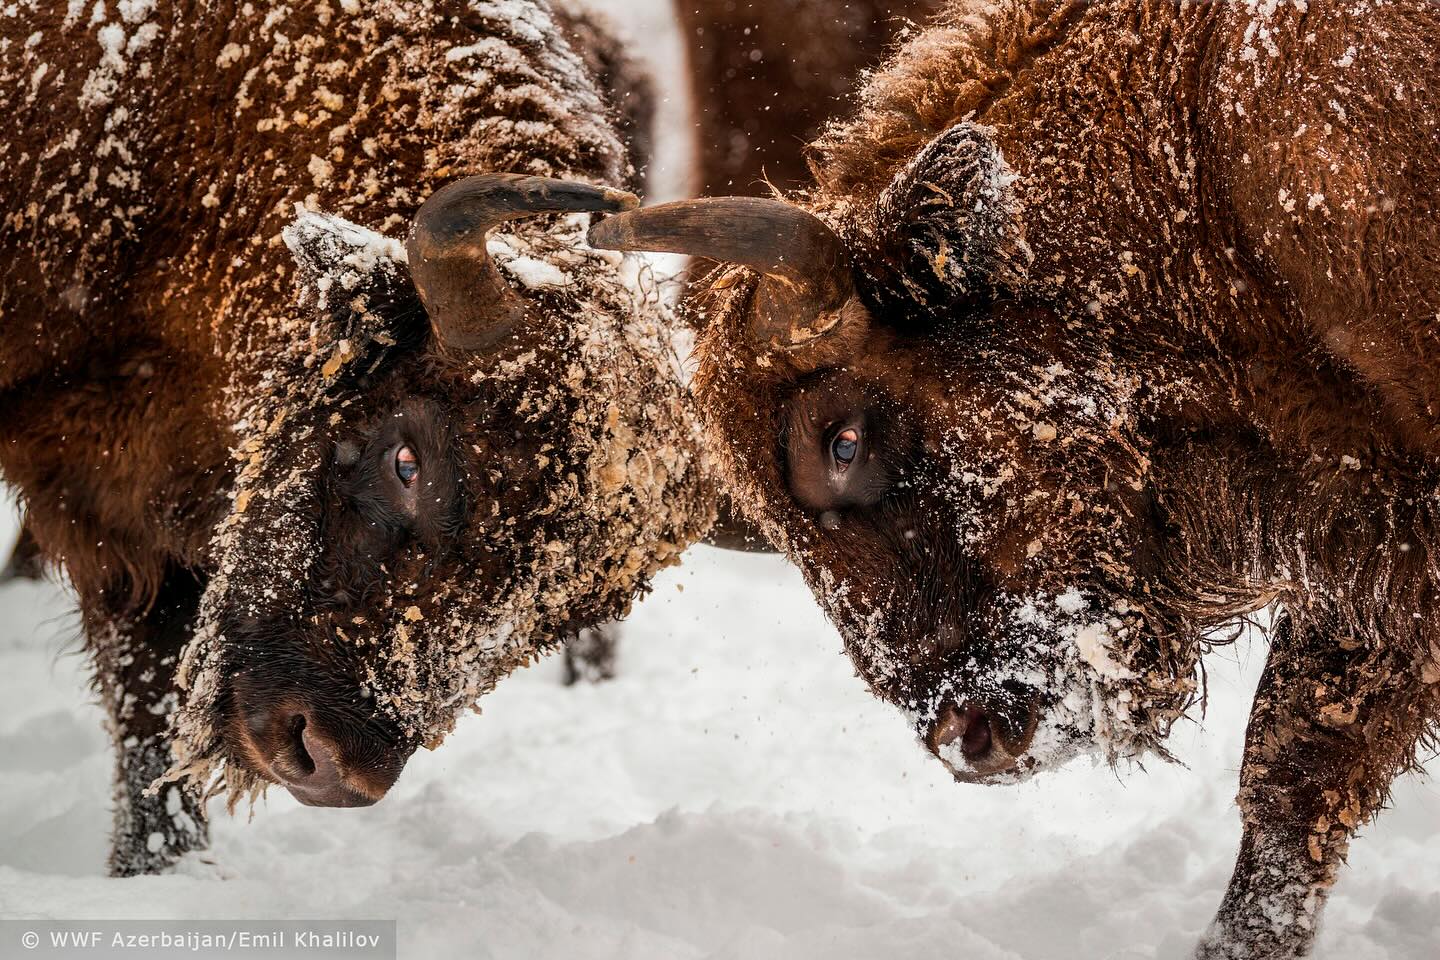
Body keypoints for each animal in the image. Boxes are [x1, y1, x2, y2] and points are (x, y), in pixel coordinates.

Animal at [0, 0, 714, 880]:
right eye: (406, 460)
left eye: (565, 608)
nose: (328, 763)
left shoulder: (142, 505)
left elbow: (150, 704)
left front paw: (159, 869)